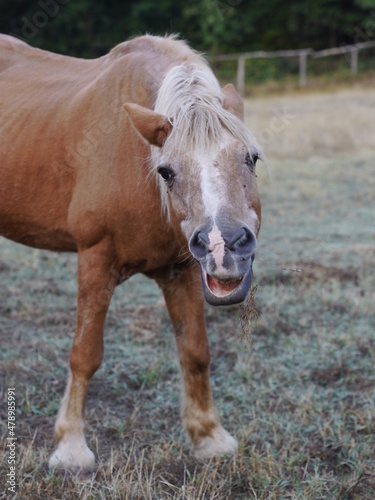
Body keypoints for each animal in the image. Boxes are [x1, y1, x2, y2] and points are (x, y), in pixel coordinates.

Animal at [0, 33, 262, 470]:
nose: (225, 247)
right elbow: (85, 353)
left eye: (251, 157)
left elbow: (195, 351)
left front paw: (209, 436)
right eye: (167, 171)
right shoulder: (94, 259)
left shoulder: (182, 270)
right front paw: (71, 447)